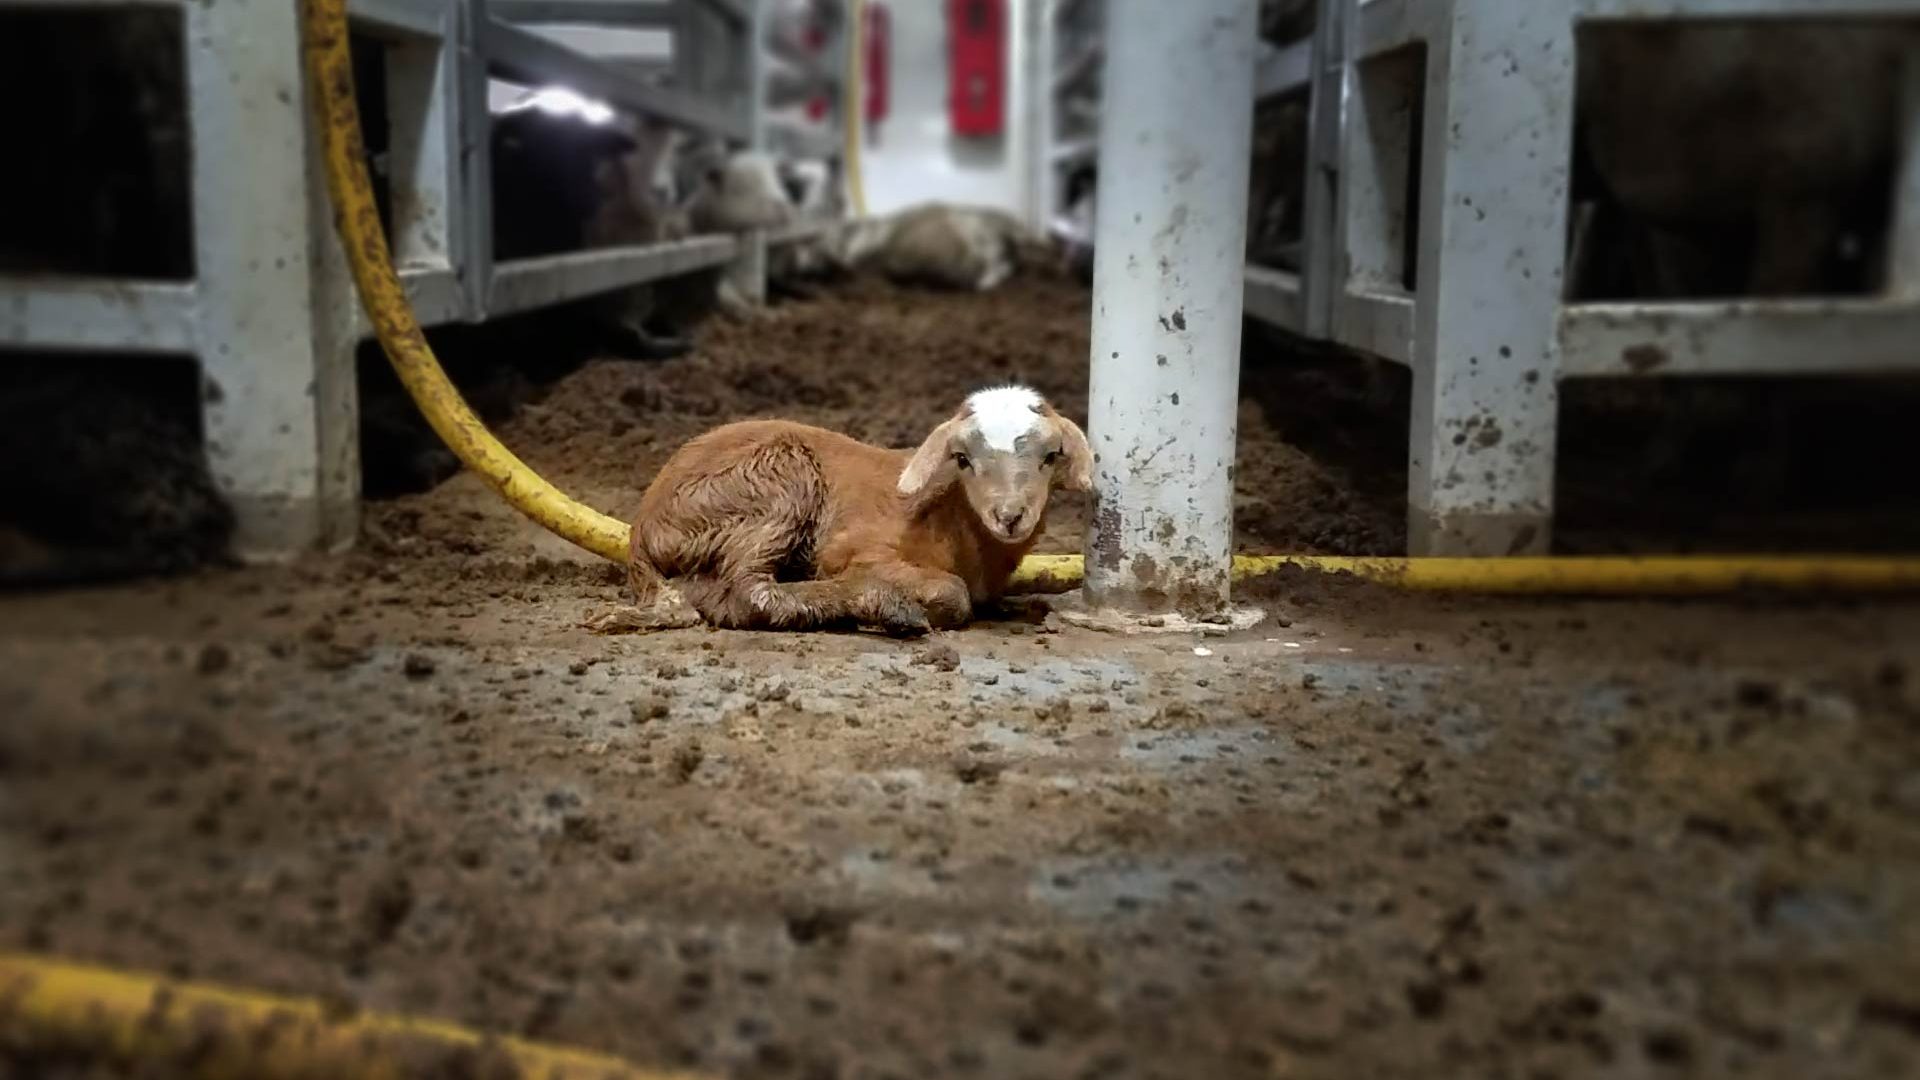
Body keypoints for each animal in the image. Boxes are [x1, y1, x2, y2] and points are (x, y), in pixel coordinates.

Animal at [591, 386, 1090, 634]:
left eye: (1050, 457)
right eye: (963, 458)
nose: (1010, 515)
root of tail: (641, 533)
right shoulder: (857, 548)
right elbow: (952, 593)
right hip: (774, 480)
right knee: (747, 591)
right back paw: (885, 608)